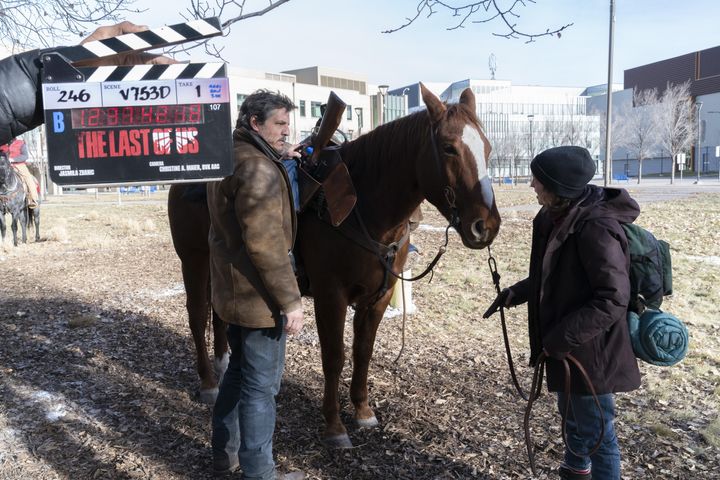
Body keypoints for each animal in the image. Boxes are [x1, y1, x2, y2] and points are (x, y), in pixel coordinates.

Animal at [167, 82, 500, 446]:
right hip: (193, 260)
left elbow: (362, 352)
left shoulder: (379, 297)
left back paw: (224, 363)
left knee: (221, 312)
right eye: (449, 147)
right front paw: (334, 425)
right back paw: (208, 383)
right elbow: (334, 357)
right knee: (197, 314)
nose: (485, 226)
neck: (366, 208)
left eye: (487, 147)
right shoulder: (330, 296)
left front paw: (363, 411)